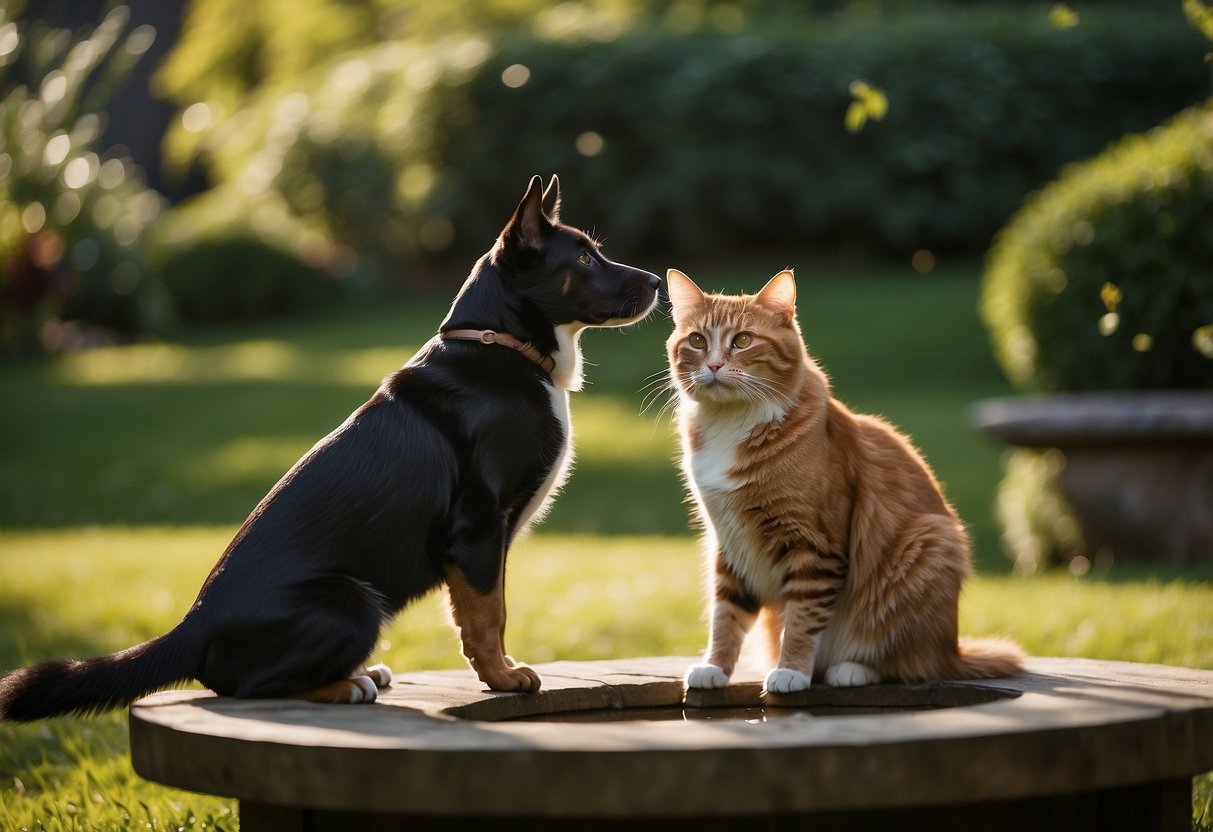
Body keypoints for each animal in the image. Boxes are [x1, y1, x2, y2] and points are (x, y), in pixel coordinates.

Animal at [0, 172, 659, 717]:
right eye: (584, 257)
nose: (657, 280)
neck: (503, 344)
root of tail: (194, 627)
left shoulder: (484, 542)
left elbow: (481, 611)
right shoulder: (476, 530)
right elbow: (487, 615)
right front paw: (502, 678)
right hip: (354, 599)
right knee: (246, 686)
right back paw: (347, 684)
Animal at [669, 270, 1018, 693]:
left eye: (743, 340)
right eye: (698, 341)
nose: (715, 365)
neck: (731, 423)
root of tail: (952, 649)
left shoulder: (815, 544)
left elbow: (802, 620)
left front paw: (791, 671)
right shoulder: (729, 544)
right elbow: (726, 616)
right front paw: (715, 668)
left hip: (929, 544)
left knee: (911, 663)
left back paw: (850, 670)